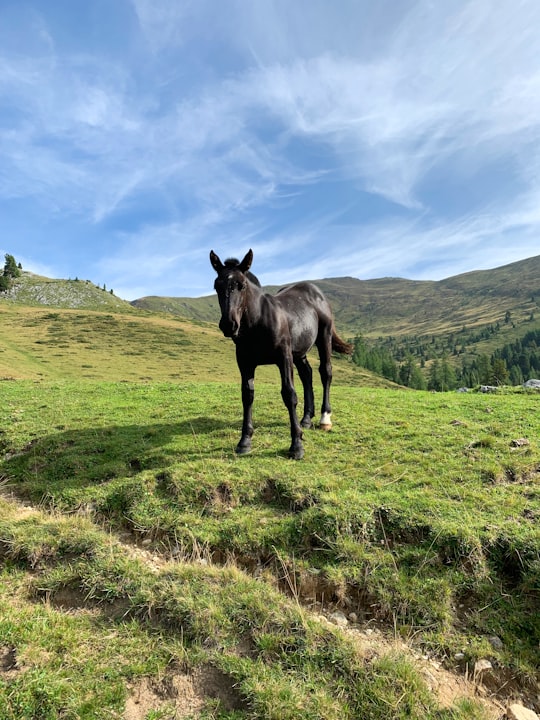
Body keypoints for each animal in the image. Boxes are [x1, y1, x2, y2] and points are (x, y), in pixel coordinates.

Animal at [209, 250, 352, 458]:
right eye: (216, 286)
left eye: (241, 285)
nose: (229, 325)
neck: (258, 322)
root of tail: (316, 293)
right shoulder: (244, 362)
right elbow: (247, 395)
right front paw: (244, 441)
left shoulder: (283, 357)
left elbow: (289, 394)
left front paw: (296, 446)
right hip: (299, 351)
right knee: (307, 374)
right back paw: (306, 418)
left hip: (323, 338)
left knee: (325, 372)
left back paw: (324, 419)